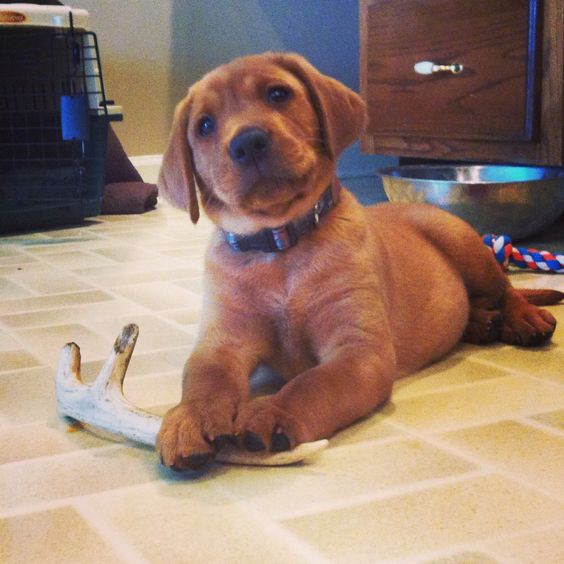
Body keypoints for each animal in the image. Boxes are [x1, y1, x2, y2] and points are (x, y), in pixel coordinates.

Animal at [155, 53, 564, 470]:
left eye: (278, 94)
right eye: (205, 125)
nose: (248, 142)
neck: (280, 247)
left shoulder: (359, 350)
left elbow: (311, 384)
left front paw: (273, 412)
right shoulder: (222, 342)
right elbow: (204, 378)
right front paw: (191, 418)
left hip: (463, 244)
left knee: (506, 288)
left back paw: (522, 317)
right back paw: (482, 322)